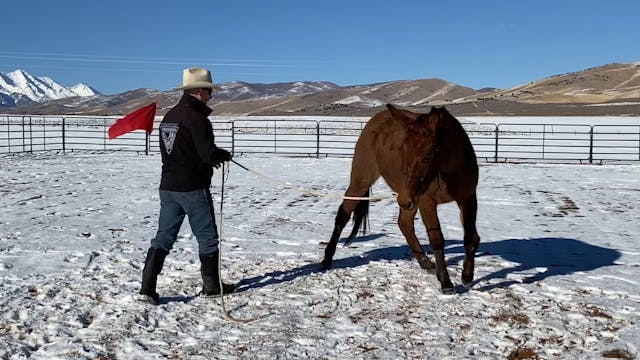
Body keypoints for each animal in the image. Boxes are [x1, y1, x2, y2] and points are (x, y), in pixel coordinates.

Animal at [322, 103, 478, 292]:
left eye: (428, 155)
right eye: (403, 151)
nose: (403, 199)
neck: (449, 171)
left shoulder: (468, 198)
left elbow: (471, 238)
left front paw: (467, 276)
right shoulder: (427, 202)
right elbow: (436, 240)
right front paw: (446, 283)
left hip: (409, 198)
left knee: (404, 223)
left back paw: (425, 263)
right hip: (363, 183)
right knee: (343, 215)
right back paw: (327, 258)